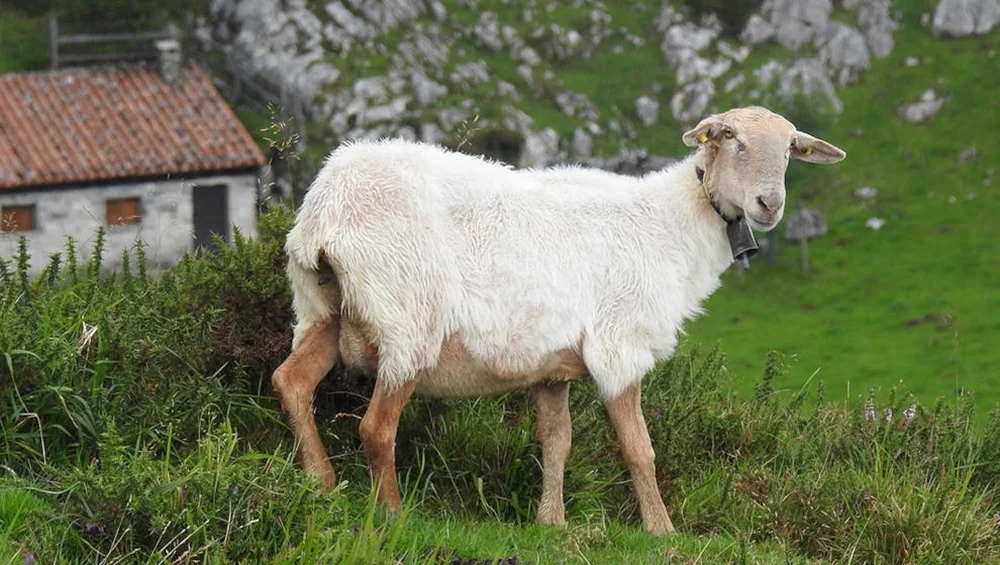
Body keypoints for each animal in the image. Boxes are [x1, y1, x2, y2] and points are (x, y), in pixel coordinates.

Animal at [272, 106, 844, 532]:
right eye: (731, 138)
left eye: (791, 149)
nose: (769, 204)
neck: (671, 225)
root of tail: (325, 211)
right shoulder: (620, 348)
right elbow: (639, 448)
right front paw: (661, 530)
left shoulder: (552, 365)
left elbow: (556, 441)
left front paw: (552, 521)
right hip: (406, 320)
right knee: (375, 427)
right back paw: (392, 514)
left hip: (322, 308)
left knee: (291, 382)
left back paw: (321, 484)